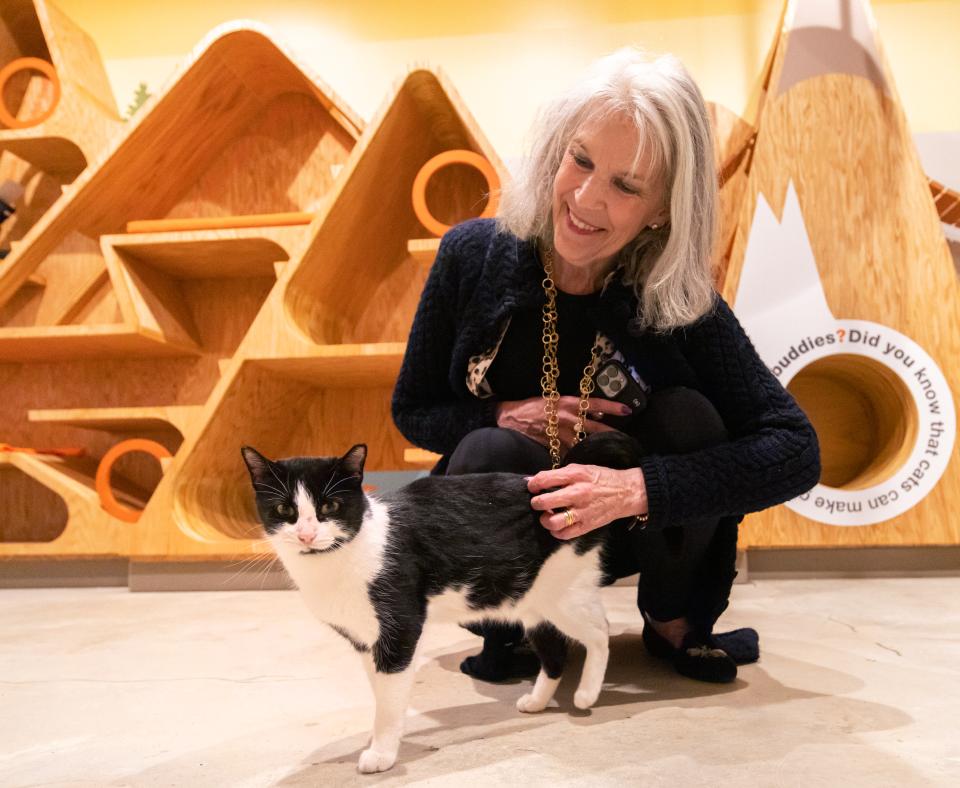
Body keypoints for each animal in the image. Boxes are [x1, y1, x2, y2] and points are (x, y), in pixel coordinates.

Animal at [239, 440, 632, 772]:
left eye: (329, 506)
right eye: (285, 509)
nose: (306, 535)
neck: (340, 559)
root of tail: (556, 479)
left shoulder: (400, 628)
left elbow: (389, 698)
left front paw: (382, 753)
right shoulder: (365, 639)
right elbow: (382, 693)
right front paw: (383, 737)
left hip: (565, 591)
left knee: (600, 632)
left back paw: (586, 694)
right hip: (531, 600)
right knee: (554, 652)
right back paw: (536, 701)